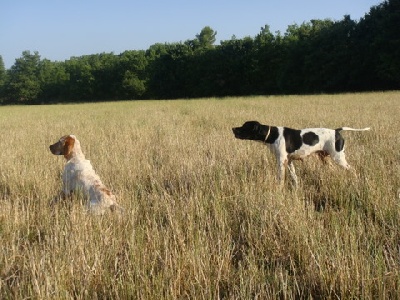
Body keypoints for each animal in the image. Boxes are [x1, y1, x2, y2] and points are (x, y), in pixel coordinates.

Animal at [233, 120, 370, 186]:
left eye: (244, 126)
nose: (233, 128)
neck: (272, 134)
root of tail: (336, 131)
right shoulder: (289, 161)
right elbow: (295, 177)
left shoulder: (281, 161)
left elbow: (280, 178)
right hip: (325, 158)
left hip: (339, 158)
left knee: (352, 170)